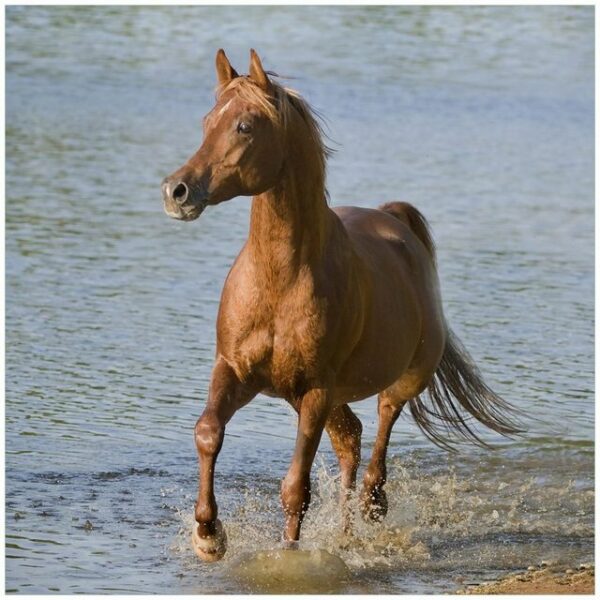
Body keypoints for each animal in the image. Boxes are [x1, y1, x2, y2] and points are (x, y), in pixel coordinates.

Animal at [161, 48, 520, 564]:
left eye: (245, 126)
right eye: (208, 121)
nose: (177, 191)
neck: (279, 281)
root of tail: (395, 222)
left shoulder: (314, 390)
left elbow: (296, 487)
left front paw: (289, 553)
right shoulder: (234, 370)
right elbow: (208, 431)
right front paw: (209, 535)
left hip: (397, 379)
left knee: (381, 429)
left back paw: (372, 506)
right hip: (324, 399)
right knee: (350, 440)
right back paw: (346, 536)